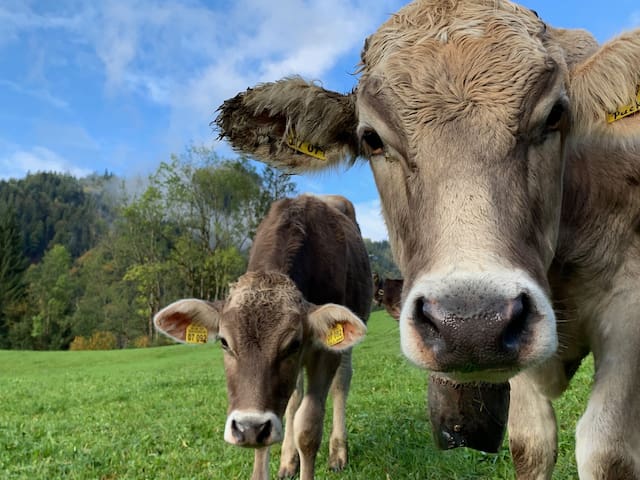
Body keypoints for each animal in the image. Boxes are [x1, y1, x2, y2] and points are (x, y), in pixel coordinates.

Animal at [155, 195, 372, 480]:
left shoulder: (324, 353)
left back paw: (338, 453)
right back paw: (288, 460)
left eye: (293, 343)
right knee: (293, 399)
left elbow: (308, 427)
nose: (248, 427)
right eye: (224, 342)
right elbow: (269, 435)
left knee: (341, 383)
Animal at [214, 1, 640, 478]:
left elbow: (607, 451)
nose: (471, 325)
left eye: (554, 115)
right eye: (371, 138)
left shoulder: (628, 305)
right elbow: (531, 444)